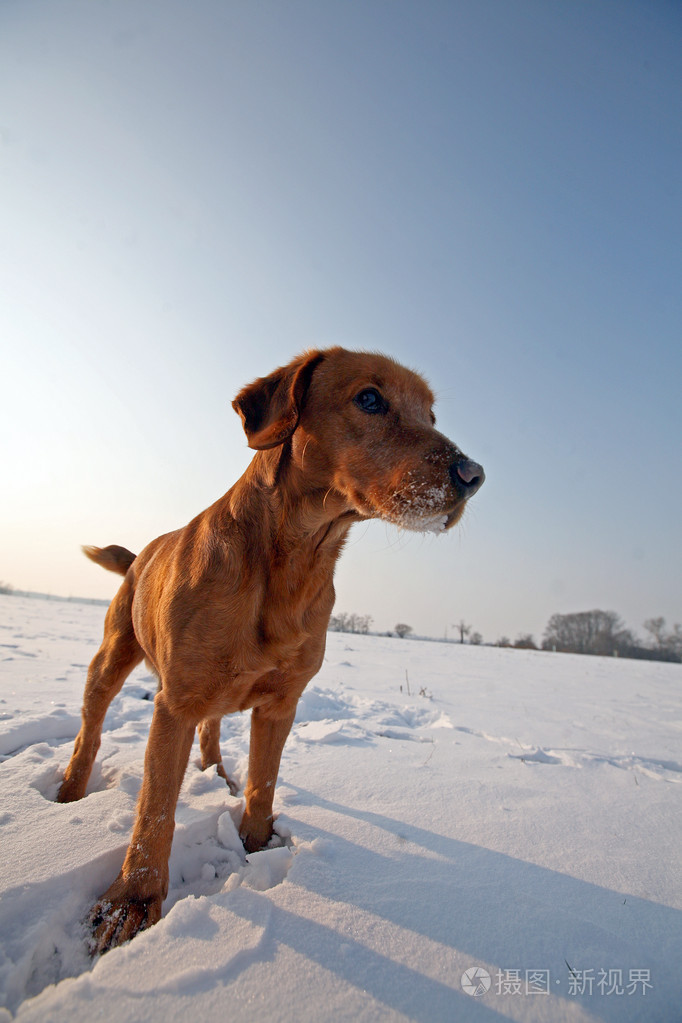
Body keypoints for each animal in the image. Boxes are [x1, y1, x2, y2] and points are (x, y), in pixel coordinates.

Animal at [58, 349, 484, 949]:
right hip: (111, 658)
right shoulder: (174, 704)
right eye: (370, 398)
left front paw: (256, 847)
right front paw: (130, 903)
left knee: (212, 732)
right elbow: (155, 811)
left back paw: (216, 774)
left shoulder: (282, 703)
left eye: (431, 413)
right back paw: (70, 792)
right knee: (90, 731)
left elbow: (263, 783)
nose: (474, 476)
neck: (296, 562)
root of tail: (141, 554)